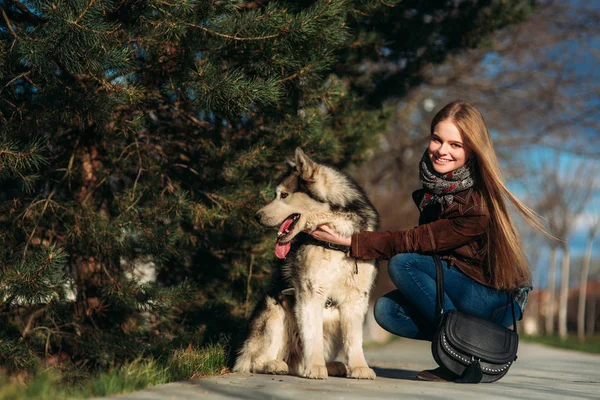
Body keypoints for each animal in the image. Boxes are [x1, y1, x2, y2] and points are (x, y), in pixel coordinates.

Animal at [234, 148, 380, 380]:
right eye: (276, 194)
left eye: (283, 195)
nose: (256, 216)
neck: (337, 240)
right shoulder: (310, 292)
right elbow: (312, 336)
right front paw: (316, 367)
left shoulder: (356, 297)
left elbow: (355, 339)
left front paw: (359, 367)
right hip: (275, 311)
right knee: (254, 360)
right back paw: (275, 364)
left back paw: (332, 366)